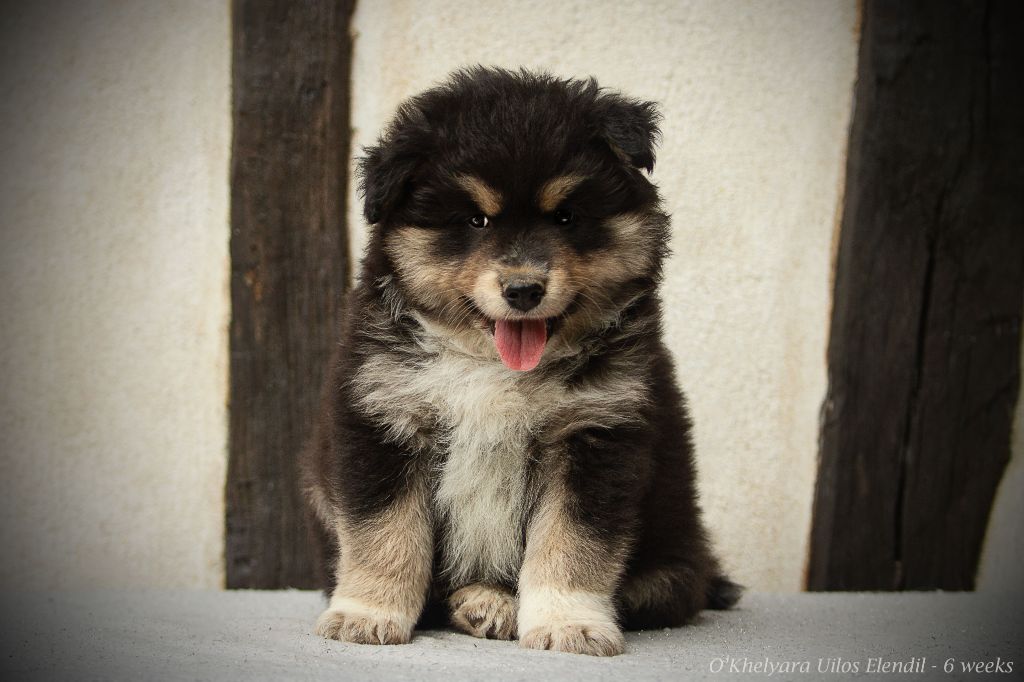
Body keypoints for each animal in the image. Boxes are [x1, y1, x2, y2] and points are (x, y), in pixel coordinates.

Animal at [301, 67, 740, 656]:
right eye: (476, 220)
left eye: (566, 216)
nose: (524, 290)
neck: (492, 367)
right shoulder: (384, 418)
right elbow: (384, 535)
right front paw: (365, 614)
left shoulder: (595, 434)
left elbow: (572, 544)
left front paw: (568, 624)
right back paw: (480, 602)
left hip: (671, 567)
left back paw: (492, 603)